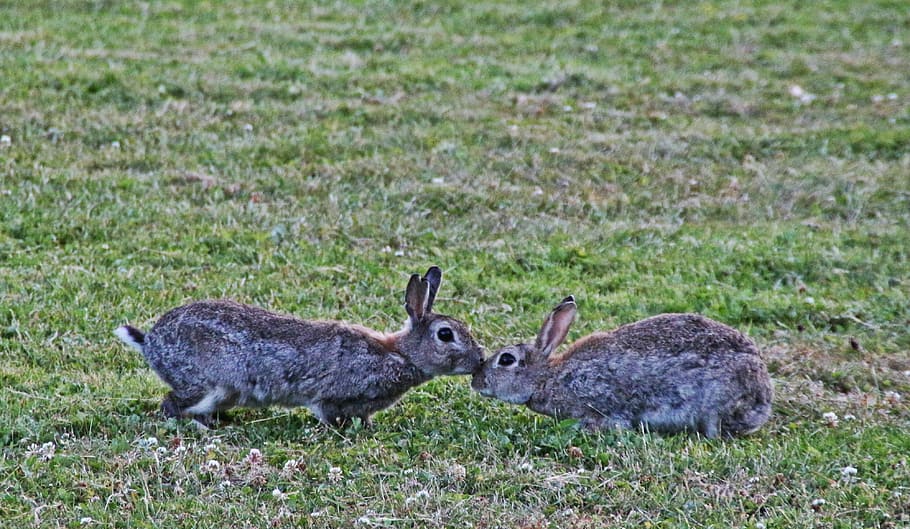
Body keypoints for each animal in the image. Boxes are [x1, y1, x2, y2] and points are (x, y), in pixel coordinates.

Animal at [115, 266, 483, 427]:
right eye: (446, 335)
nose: (479, 359)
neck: (399, 353)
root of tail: (151, 342)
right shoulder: (331, 397)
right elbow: (328, 413)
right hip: (205, 383)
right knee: (171, 404)